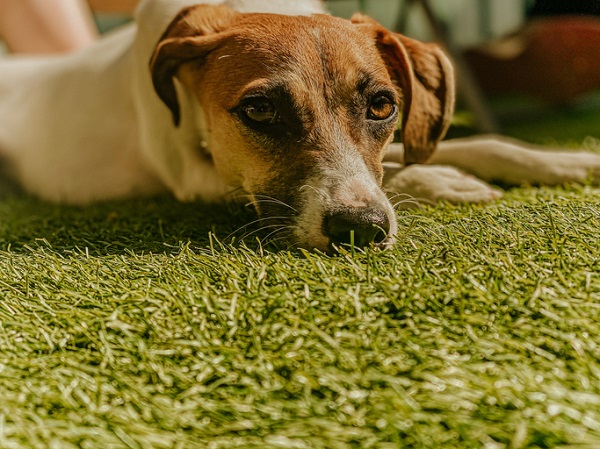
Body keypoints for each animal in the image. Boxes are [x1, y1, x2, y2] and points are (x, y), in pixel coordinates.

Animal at [1, 0, 600, 252]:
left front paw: (565, 160)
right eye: (259, 110)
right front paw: (442, 181)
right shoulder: (192, 176)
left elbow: (472, 143)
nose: (361, 230)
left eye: (382, 106)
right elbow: (400, 171)